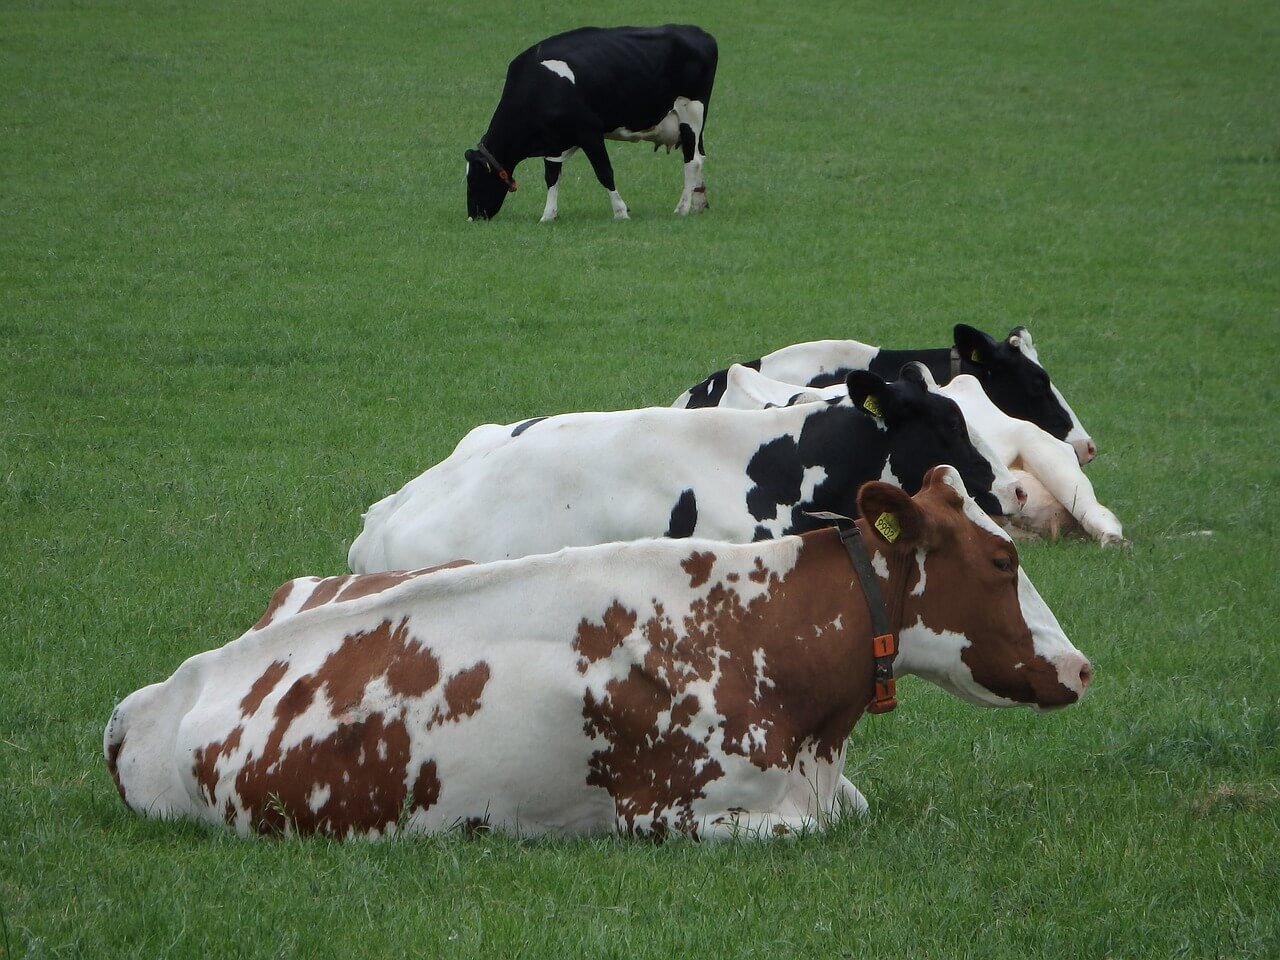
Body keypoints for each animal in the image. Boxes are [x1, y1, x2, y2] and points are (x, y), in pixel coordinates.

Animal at [463, 25, 721, 224]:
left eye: (473, 178)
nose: (473, 216)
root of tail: (701, 33)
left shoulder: (589, 132)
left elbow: (604, 172)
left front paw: (620, 212)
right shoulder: (554, 141)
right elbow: (551, 176)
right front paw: (548, 215)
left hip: (691, 111)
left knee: (692, 161)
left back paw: (682, 208)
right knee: (698, 155)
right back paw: (698, 203)